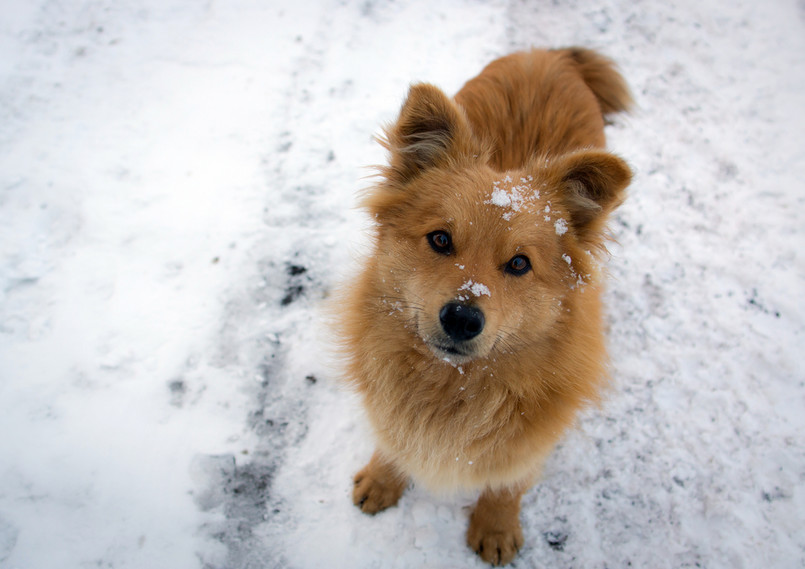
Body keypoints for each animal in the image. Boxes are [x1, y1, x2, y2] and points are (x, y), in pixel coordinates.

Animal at [336, 47, 632, 564]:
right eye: (440, 239)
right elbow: (394, 437)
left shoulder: (533, 435)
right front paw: (382, 479)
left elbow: (508, 482)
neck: (452, 385)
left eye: (519, 263)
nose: (461, 318)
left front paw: (495, 526)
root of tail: (550, 54)